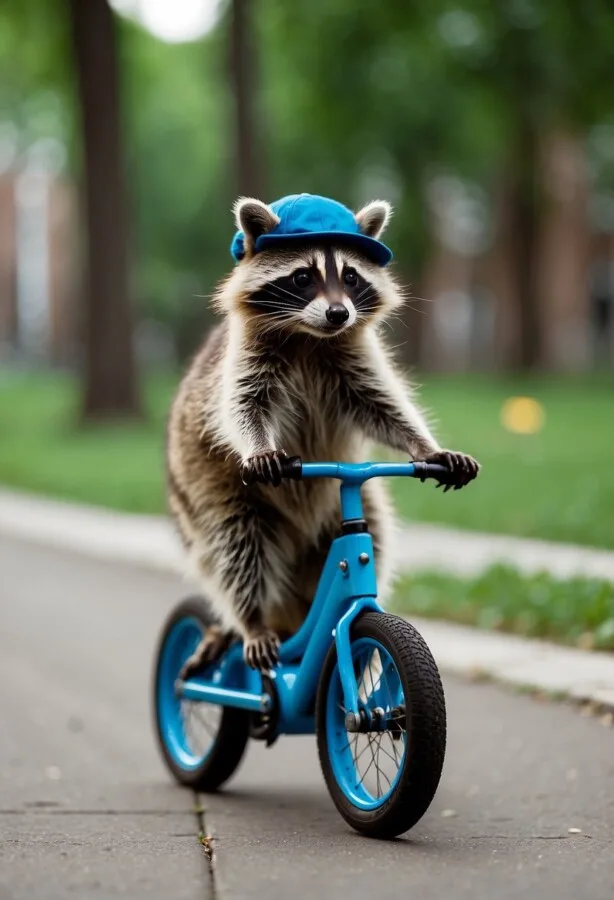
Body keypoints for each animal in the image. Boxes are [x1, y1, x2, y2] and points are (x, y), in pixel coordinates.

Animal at [165, 199, 482, 676]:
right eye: (302, 277)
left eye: (350, 277)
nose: (338, 314)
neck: (309, 336)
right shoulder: (242, 359)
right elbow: (241, 406)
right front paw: (259, 445)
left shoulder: (353, 359)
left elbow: (384, 407)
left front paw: (426, 446)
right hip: (206, 490)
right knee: (235, 546)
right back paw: (250, 621)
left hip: (343, 501)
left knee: (378, 533)